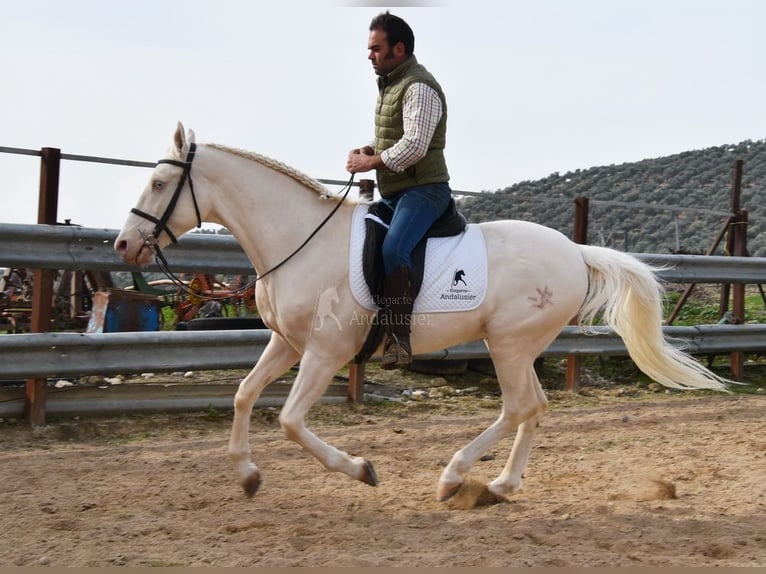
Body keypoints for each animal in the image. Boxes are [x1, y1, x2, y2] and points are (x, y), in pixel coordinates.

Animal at [117, 122, 728, 504]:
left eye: (159, 182)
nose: (124, 246)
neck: (300, 239)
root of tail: (575, 252)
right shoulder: (286, 343)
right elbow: (244, 395)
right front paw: (247, 475)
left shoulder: (324, 352)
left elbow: (290, 420)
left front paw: (361, 469)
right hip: (519, 347)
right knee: (535, 408)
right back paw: (500, 486)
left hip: (509, 345)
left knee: (518, 406)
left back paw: (455, 478)